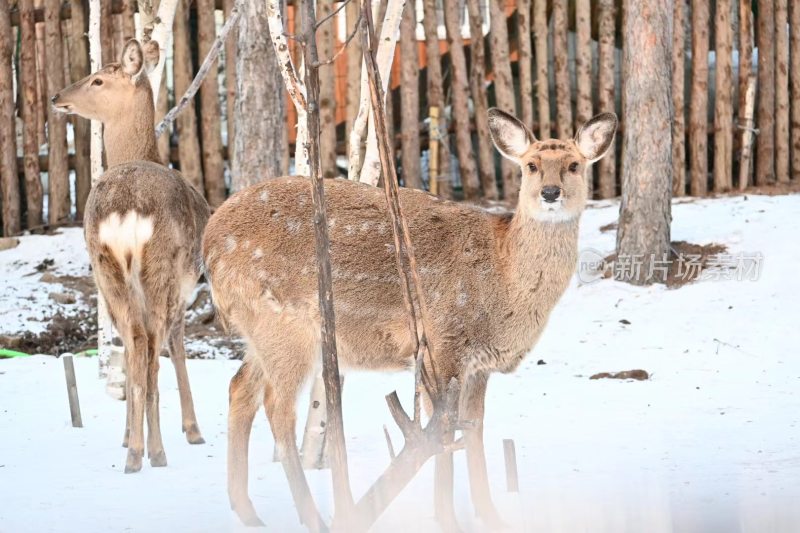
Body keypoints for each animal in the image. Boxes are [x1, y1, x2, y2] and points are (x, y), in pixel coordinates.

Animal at [51, 39, 209, 472]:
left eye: (97, 79)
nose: (57, 97)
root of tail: (126, 209)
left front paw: (126, 435)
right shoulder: (184, 286)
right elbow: (177, 347)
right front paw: (193, 431)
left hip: (105, 266)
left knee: (135, 342)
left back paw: (135, 449)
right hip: (159, 266)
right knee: (150, 347)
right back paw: (153, 451)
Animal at [205, 109, 620, 528]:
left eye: (573, 165)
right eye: (531, 165)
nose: (551, 193)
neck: (503, 276)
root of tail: (208, 241)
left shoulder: (478, 364)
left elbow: (475, 430)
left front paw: (492, 517)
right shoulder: (441, 344)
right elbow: (442, 437)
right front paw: (447, 518)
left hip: (257, 330)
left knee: (239, 388)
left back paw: (247, 512)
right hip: (283, 323)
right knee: (276, 407)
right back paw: (314, 518)